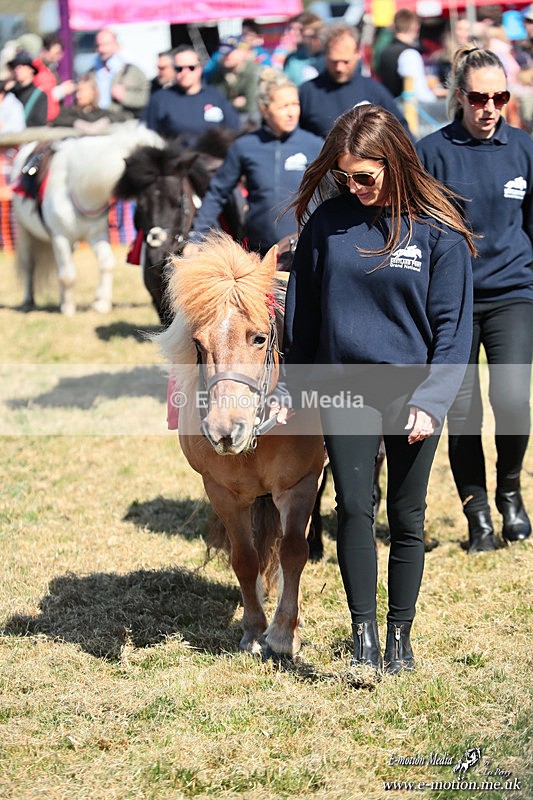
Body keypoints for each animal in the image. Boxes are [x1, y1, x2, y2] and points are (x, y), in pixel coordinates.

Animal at [11, 122, 164, 315]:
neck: (77, 186)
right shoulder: (60, 237)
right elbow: (68, 275)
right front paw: (69, 309)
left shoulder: (96, 234)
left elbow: (106, 263)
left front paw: (101, 303)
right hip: (24, 230)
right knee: (28, 263)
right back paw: (28, 301)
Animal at [156, 231, 325, 657]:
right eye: (199, 344)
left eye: (259, 337)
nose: (224, 430)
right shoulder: (222, 492)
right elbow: (245, 559)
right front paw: (253, 630)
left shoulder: (299, 484)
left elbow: (292, 551)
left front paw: (283, 632)